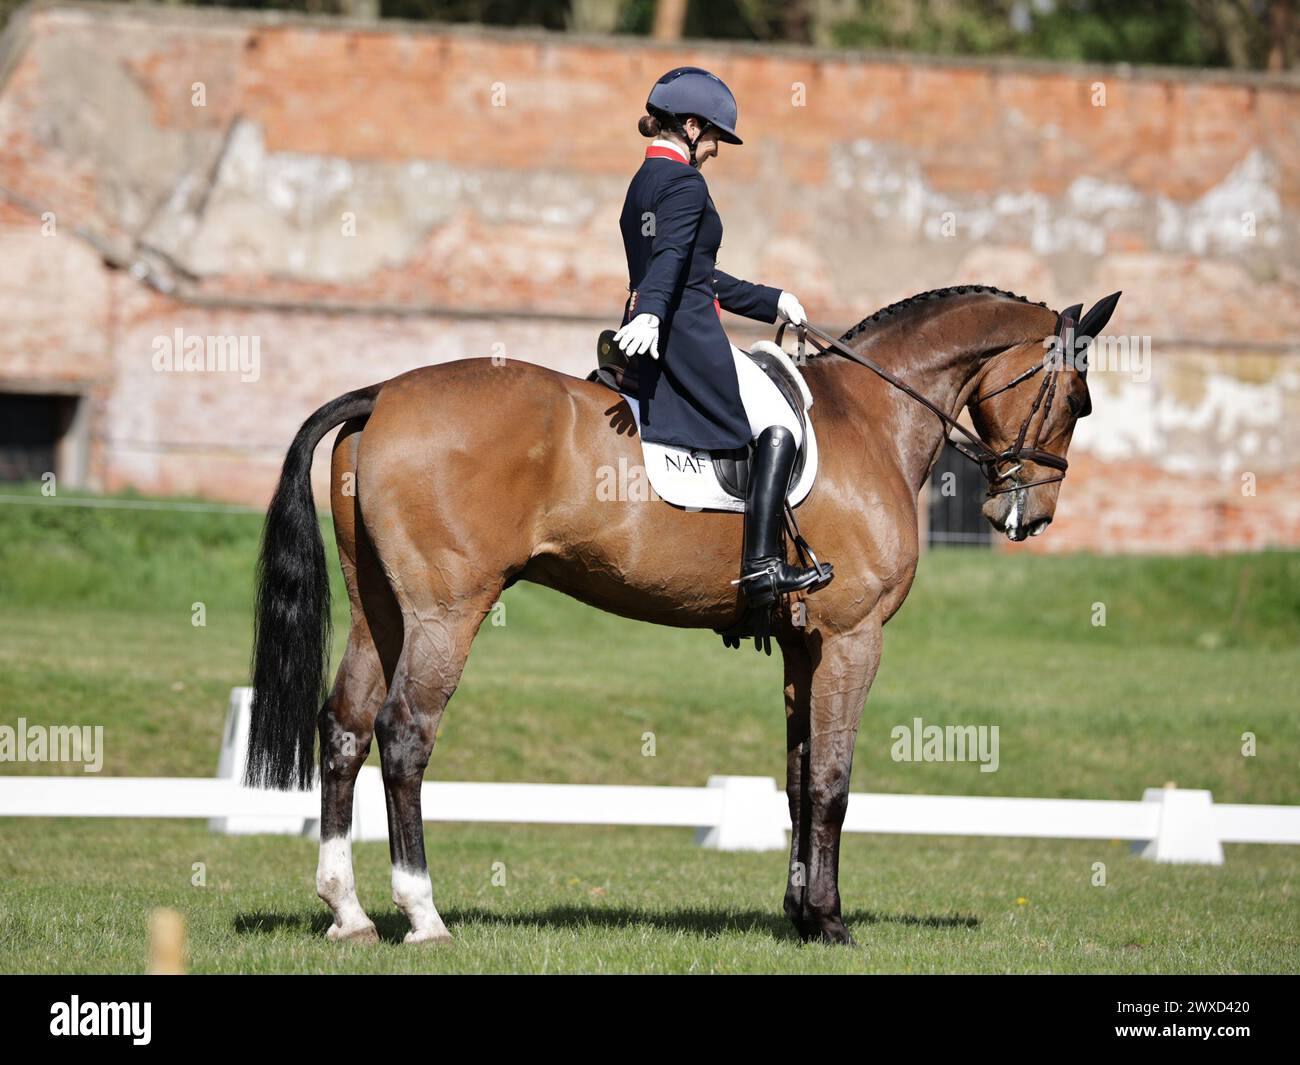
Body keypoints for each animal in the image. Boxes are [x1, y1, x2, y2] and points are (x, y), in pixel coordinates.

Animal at [250, 284, 1118, 951]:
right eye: (1077, 401)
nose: (1028, 515)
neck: (871, 416)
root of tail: (385, 393)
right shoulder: (852, 639)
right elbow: (833, 780)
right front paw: (832, 924)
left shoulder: (803, 644)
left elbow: (799, 778)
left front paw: (801, 916)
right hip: (444, 612)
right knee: (404, 732)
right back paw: (423, 915)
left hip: (380, 611)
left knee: (345, 727)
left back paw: (349, 913)